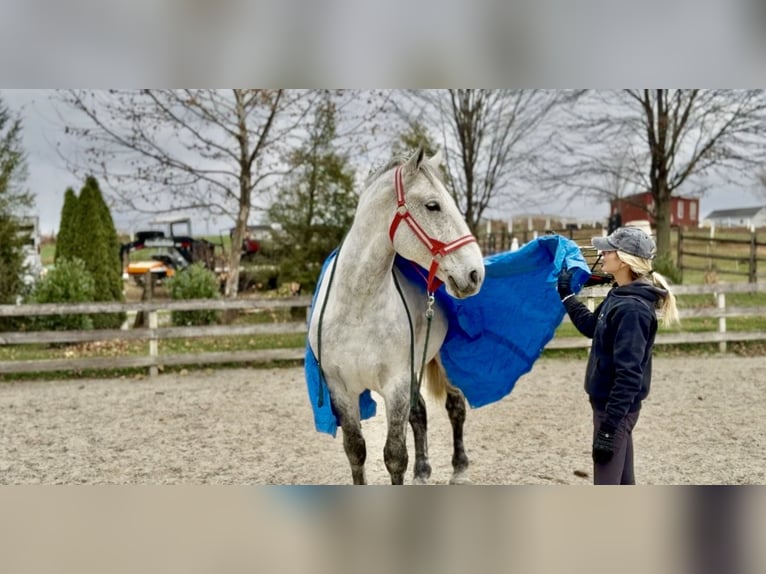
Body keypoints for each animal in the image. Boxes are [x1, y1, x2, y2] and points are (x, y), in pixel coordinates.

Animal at [307, 147, 485, 485]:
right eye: (433, 205)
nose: (475, 273)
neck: (357, 309)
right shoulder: (341, 390)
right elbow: (356, 450)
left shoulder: (396, 385)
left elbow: (394, 456)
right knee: (420, 414)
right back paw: (422, 473)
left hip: (442, 361)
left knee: (455, 408)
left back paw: (459, 469)